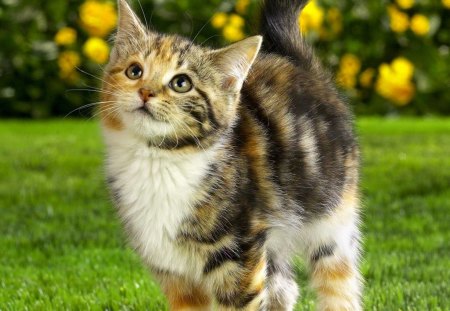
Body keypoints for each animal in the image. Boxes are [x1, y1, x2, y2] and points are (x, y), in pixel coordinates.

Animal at [101, 0, 362, 310]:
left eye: (181, 83)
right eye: (134, 71)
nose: (145, 92)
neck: (158, 159)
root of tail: (295, 62)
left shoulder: (240, 250)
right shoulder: (170, 265)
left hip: (331, 215)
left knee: (337, 279)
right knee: (285, 286)